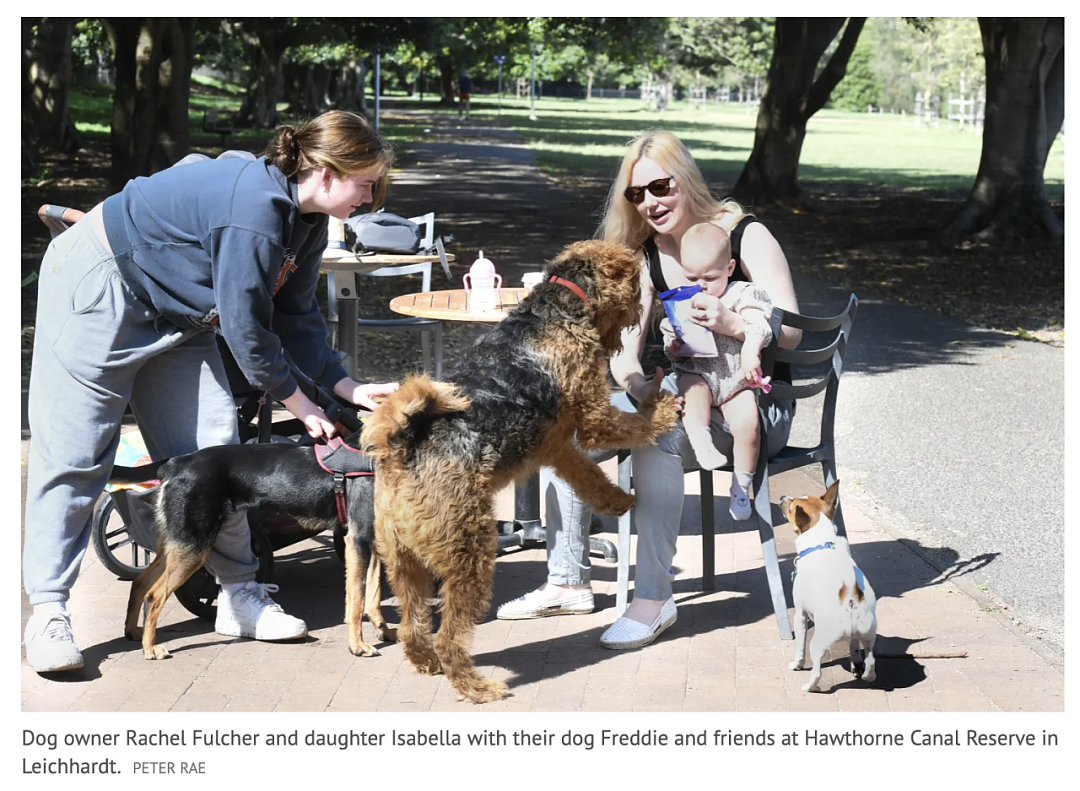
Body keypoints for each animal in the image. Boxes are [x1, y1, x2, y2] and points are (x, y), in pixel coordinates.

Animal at [112, 440, 393, 657]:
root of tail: (176, 462)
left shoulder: (371, 542)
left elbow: (373, 597)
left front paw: (385, 631)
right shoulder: (357, 541)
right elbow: (357, 601)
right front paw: (357, 645)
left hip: (179, 542)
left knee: (140, 581)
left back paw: (133, 632)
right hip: (193, 546)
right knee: (154, 595)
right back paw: (150, 648)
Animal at [367, 237, 678, 700]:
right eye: (637, 284)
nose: (654, 304)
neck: (559, 306)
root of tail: (403, 449)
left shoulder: (556, 445)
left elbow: (587, 475)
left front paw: (618, 501)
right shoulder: (594, 417)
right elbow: (633, 424)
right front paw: (665, 408)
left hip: (403, 562)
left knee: (412, 627)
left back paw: (428, 664)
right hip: (470, 554)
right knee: (448, 636)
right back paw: (478, 687)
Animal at [786, 475, 876, 691]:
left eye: (790, 507)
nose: (782, 497)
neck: (822, 543)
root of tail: (850, 597)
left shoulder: (800, 615)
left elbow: (799, 646)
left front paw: (796, 664)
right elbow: (854, 649)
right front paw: (855, 664)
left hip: (818, 643)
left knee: (817, 670)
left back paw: (810, 686)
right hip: (869, 635)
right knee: (871, 659)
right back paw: (868, 677)